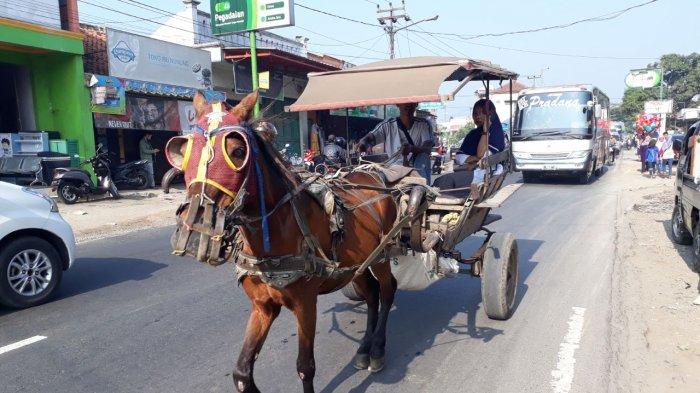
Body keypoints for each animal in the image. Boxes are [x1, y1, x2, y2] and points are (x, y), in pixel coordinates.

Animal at [165, 90, 400, 390]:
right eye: (183, 152)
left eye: (238, 152)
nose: (195, 233)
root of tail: (374, 174)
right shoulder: (262, 306)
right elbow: (241, 372)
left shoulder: (305, 304)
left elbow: (305, 368)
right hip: (356, 265)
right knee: (371, 293)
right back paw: (363, 350)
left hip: (382, 255)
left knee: (387, 290)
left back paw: (378, 349)